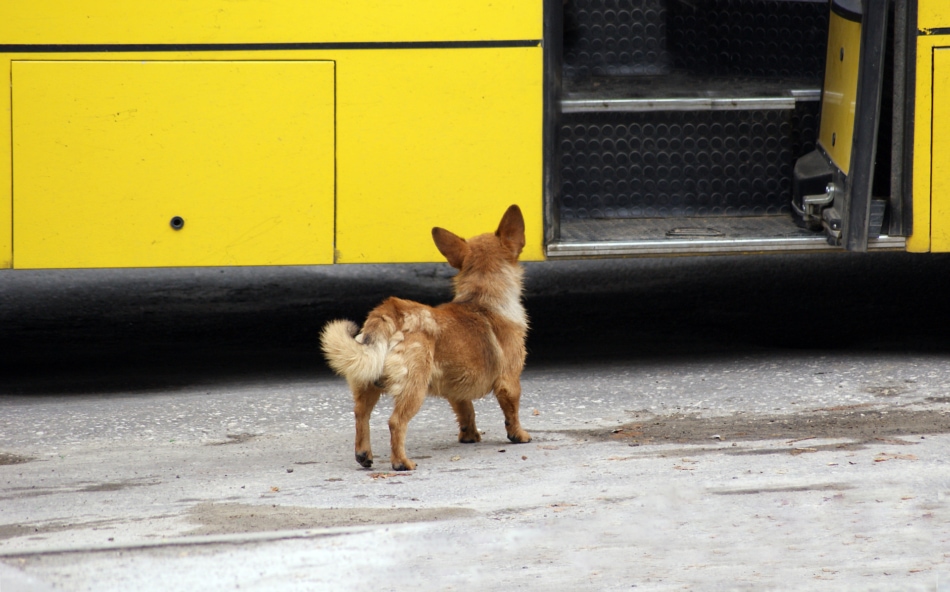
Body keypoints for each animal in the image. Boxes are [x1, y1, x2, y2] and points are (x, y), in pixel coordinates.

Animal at [322, 206, 532, 470]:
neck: (482, 300)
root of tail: (391, 312)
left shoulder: (456, 390)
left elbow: (467, 410)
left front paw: (469, 435)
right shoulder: (509, 381)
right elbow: (512, 412)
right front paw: (519, 435)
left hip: (366, 384)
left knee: (361, 415)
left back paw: (364, 454)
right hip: (414, 389)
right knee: (396, 422)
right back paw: (402, 462)